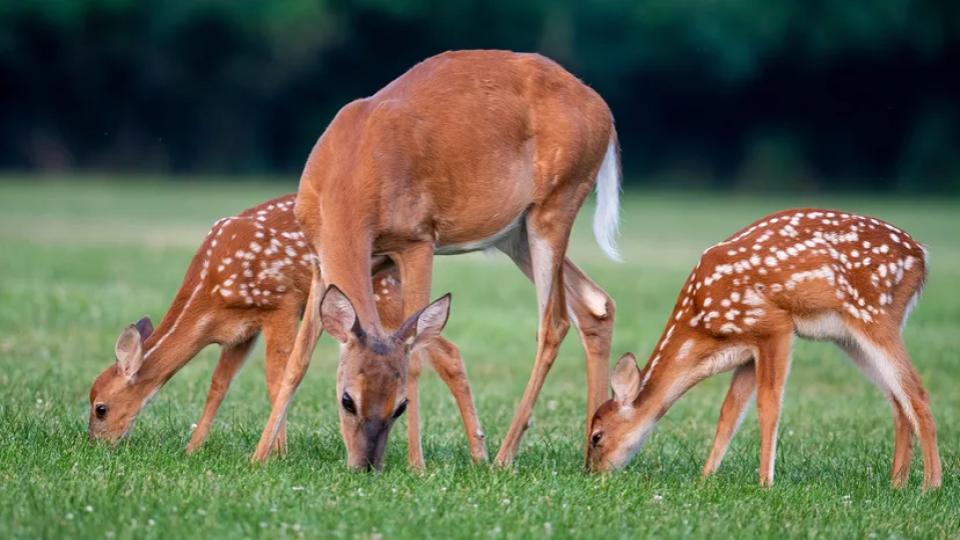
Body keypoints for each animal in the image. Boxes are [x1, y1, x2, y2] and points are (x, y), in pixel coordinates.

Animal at [88, 194, 488, 465]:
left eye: (100, 408)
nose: (96, 444)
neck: (210, 289)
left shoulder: (279, 303)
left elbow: (276, 377)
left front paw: (277, 454)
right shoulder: (239, 332)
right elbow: (218, 386)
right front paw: (192, 448)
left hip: (383, 296)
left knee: (446, 351)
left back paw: (479, 454)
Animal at [252, 50, 620, 469]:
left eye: (399, 406)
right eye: (346, 400)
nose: (366, 465)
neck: (351, 174)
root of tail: (604, 112)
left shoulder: (417, 239)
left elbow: (414, 356)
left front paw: (417, 465)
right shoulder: (321, 261)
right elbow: (298, 361)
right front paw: (259, 456)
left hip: (555, 206)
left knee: (554, 322)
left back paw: (504, 456)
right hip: (516, 234)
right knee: (595, 304)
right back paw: (591, 457)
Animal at [587, 208, 941, 490]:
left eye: (596, 436)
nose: (592, 474)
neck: (702, 327)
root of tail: (922, 256)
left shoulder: (773, 325)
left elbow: (768, 406)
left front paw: (764, 483)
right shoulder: (747, 351)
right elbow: (729, 413)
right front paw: (705, 477)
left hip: (874, 313)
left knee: (917, 391)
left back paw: (930, 485)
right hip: (850, 337)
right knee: (897, 398)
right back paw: (897, 483)